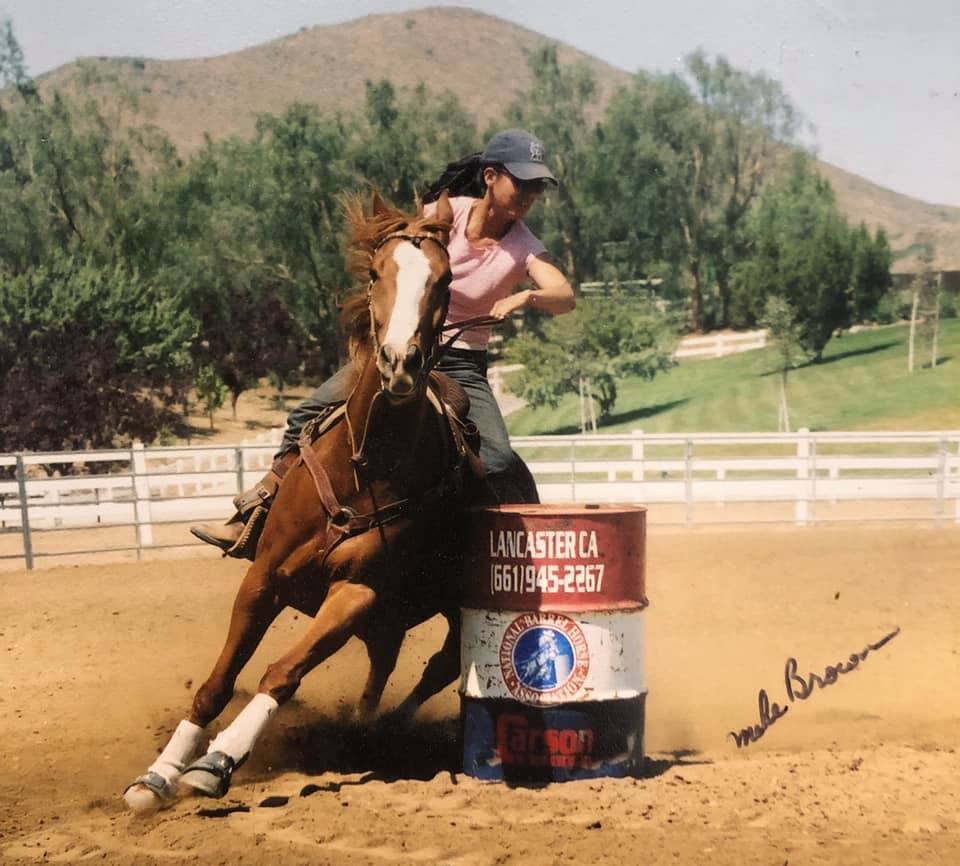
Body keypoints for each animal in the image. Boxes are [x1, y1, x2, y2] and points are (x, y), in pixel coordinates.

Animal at [123, 189, 528, 808]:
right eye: (377, 272)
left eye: (444, 279)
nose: (400, 363)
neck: (367, 465)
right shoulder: (264, 577)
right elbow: (218, 683)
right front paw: (160, 772)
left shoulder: (356, 593)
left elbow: (282, 673)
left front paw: (217, 761)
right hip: (387, 615)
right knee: (384, 663)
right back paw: (361, 726)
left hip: (447, 609)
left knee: (435, 668)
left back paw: (379, 734)